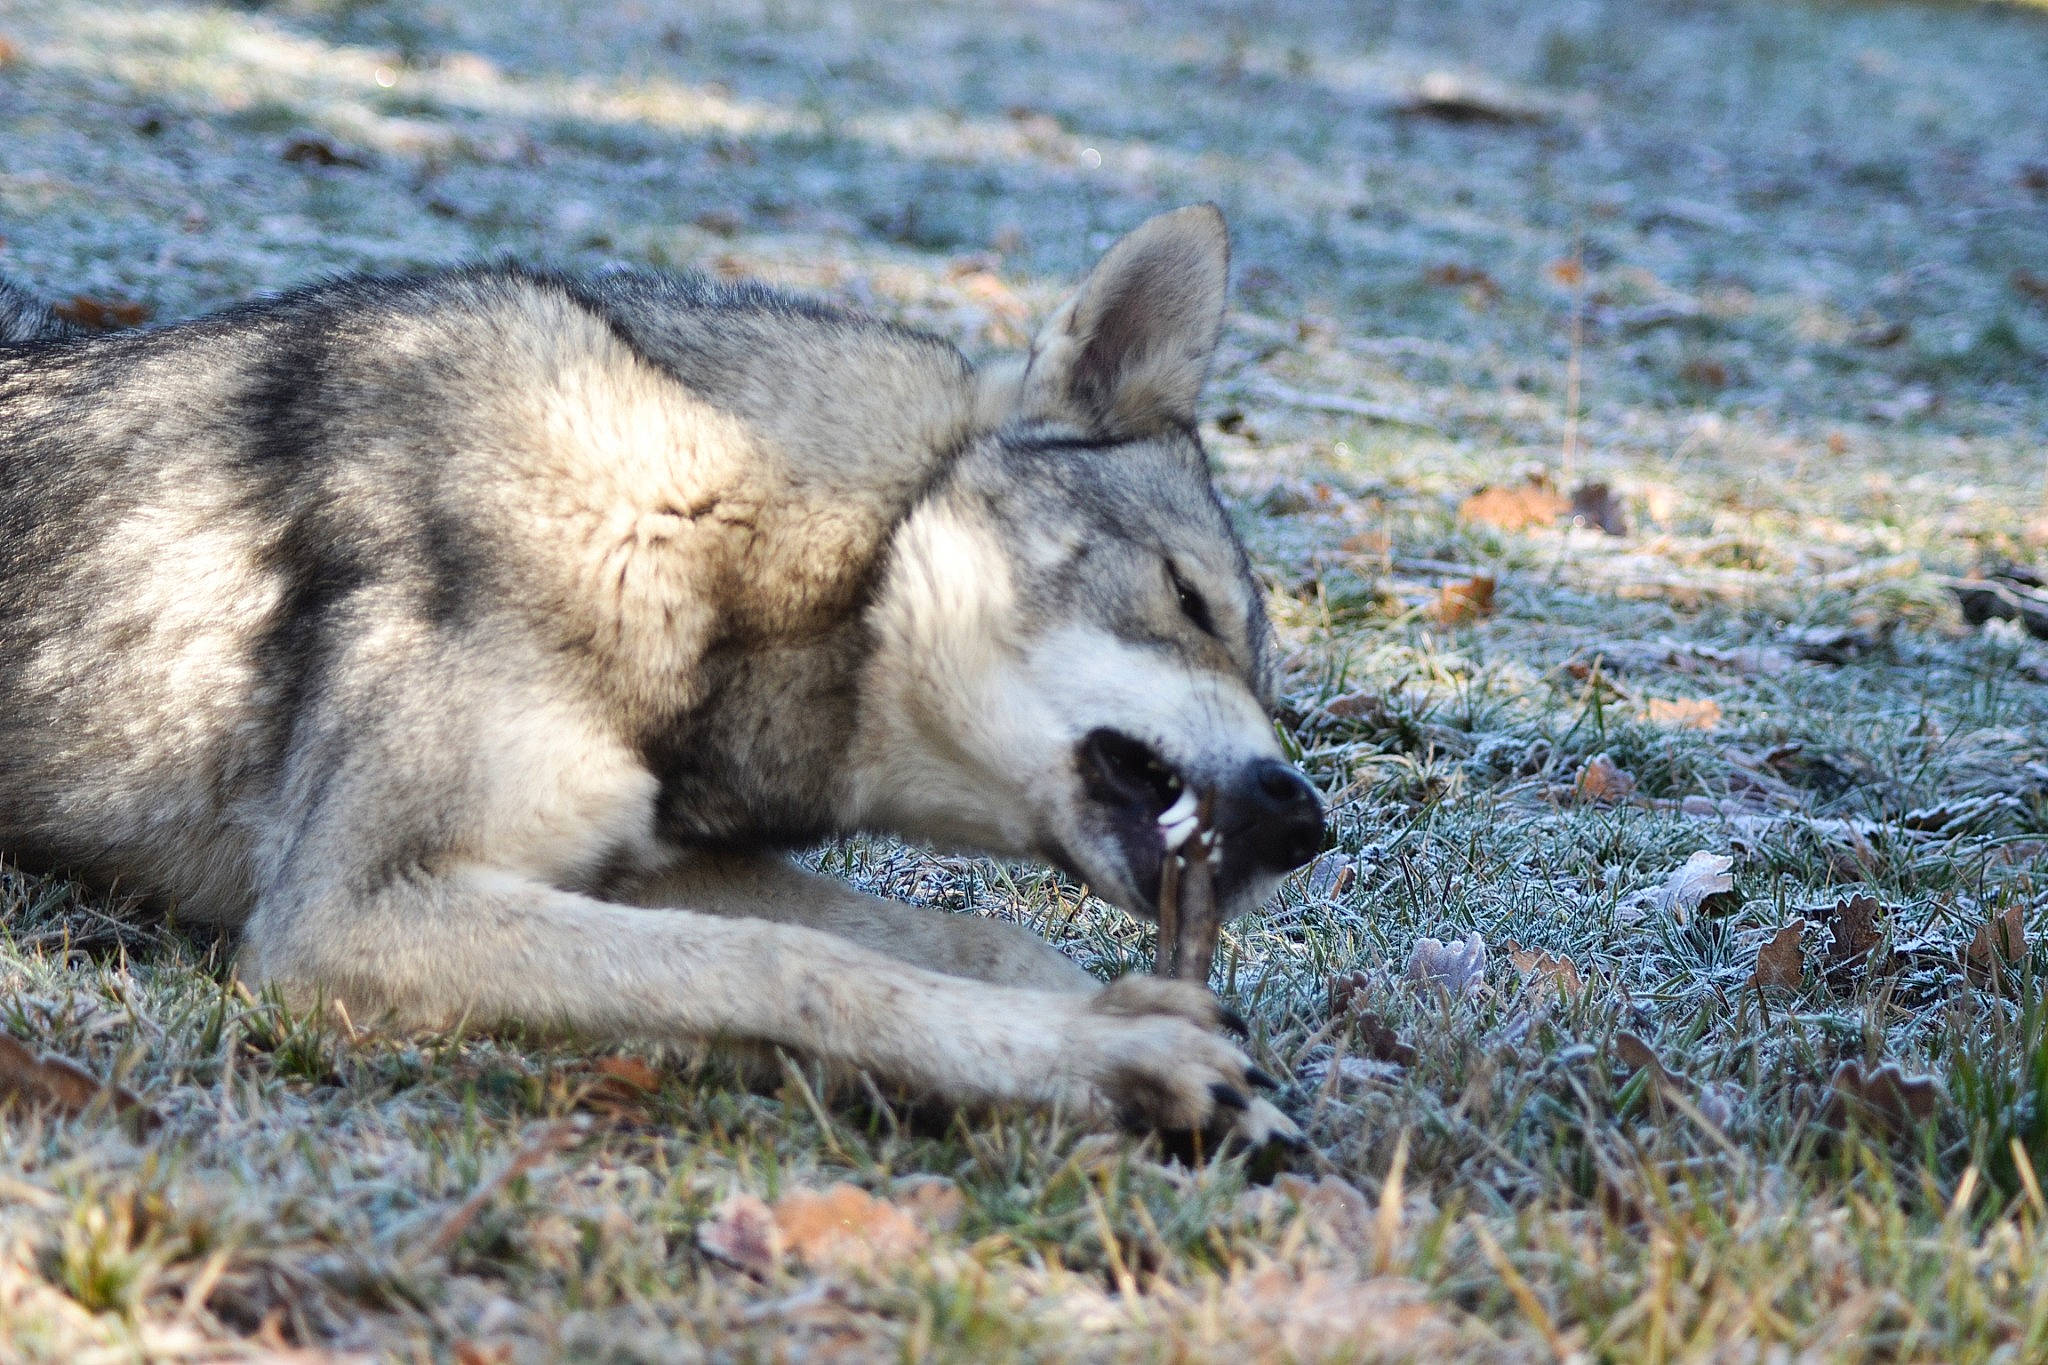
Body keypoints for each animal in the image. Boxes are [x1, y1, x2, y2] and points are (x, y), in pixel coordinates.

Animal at [0, 206, 1324, 1143]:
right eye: (1188, 600)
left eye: (1263, 667)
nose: (1303, 817)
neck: (699, 527)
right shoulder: (347, 916)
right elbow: (799, 966)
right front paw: (1114, 1063)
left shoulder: (621, 863)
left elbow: (965, 936)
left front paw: (1133, 1020)